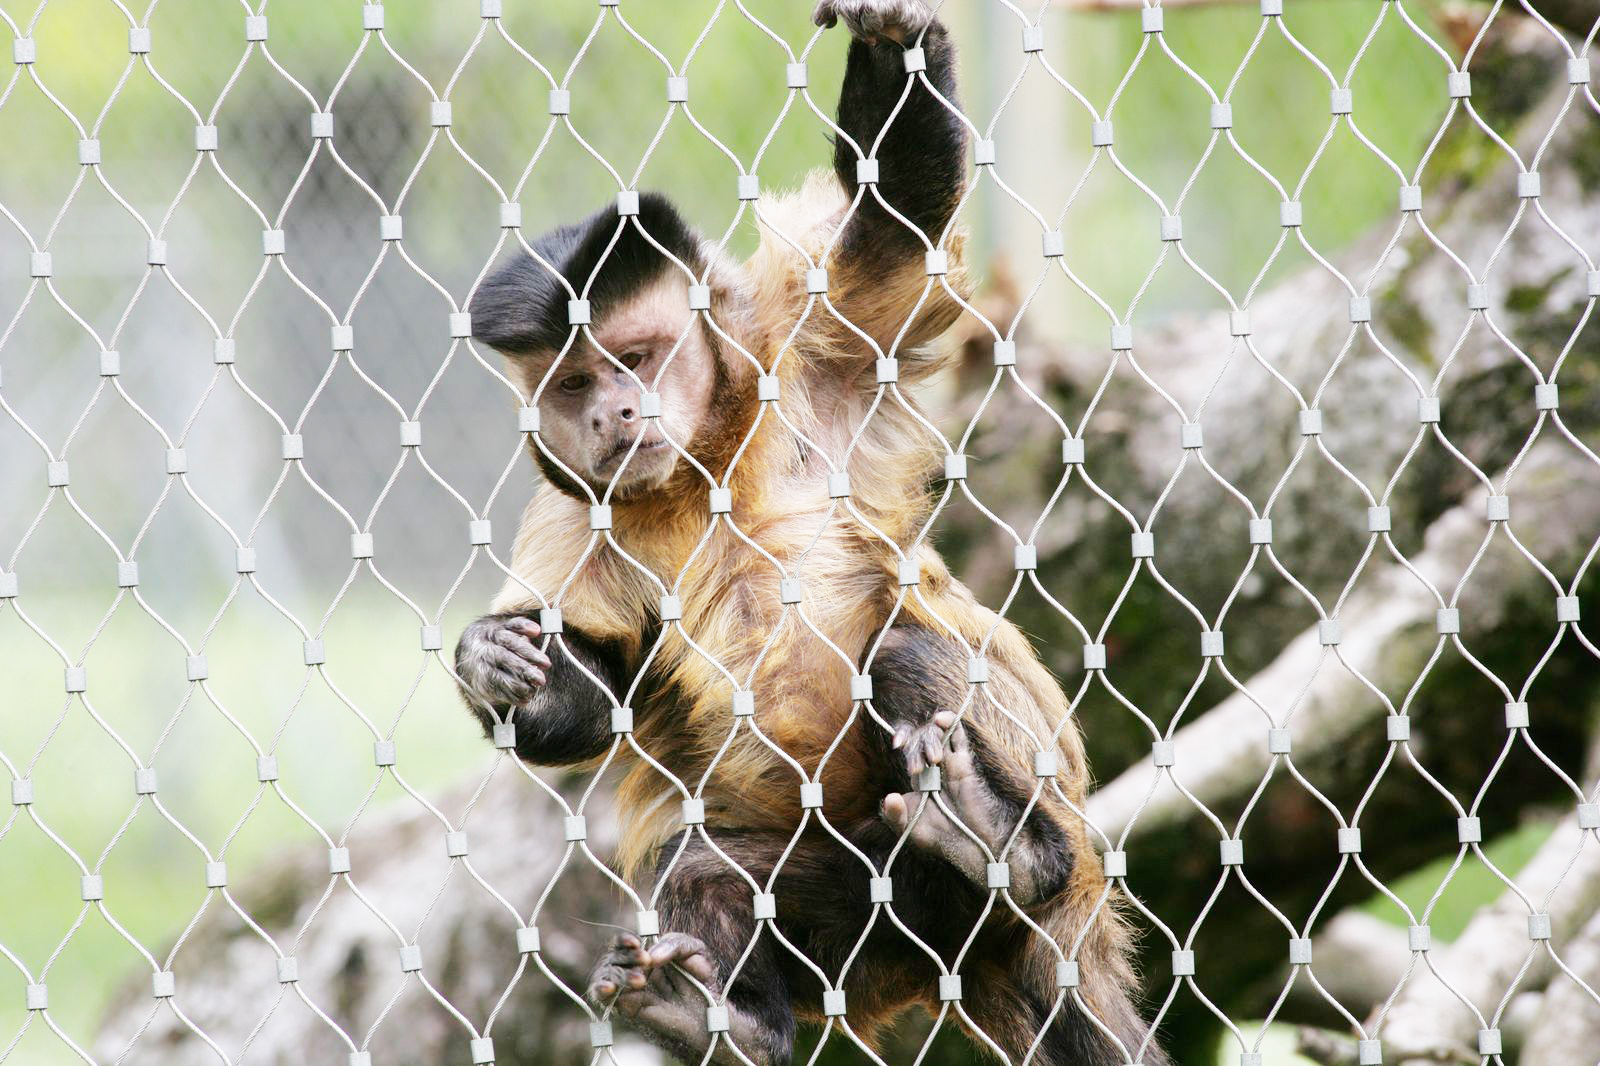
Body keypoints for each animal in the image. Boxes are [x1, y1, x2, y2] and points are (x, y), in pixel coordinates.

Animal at [457, 2, 1171, 1062]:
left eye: (638, 359)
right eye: (575, 382)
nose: (614, 416)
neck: (701, 467)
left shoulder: (797, 342)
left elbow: (895, 230)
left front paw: (889, 43)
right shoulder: (574, 510)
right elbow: (598, 687)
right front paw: (496, 664)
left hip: (1045, 808)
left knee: (911, 651)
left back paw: (1002, 846)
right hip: (861, 916)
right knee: (705, 863)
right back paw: (719, 1018)